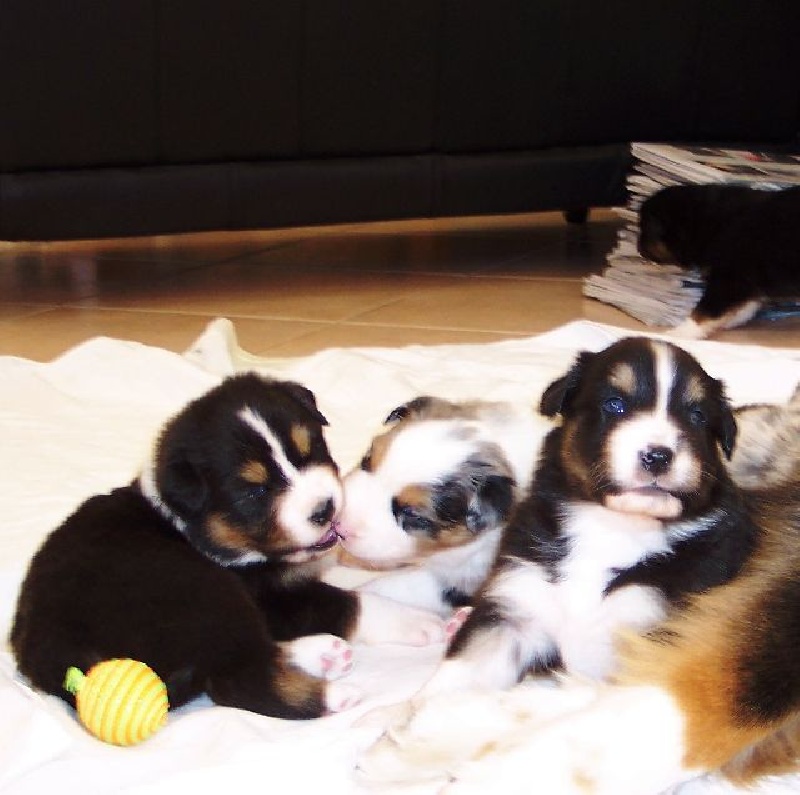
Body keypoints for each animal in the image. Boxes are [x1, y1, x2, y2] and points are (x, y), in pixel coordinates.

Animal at [11, 373, 445, 722]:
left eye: (309, 451)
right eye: (256, 491)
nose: (324, 508)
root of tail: (53, 663)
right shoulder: (267, 595)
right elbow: (347, 601)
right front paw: (418, 622)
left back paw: (323, 655)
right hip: (204, 595)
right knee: (237, 677)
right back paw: (333, 693)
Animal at [358, 336, 800, 793]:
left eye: (696, 416)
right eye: (614, 404)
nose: (658, 455)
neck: (613, 529)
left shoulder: (653, 632)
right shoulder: (514, 606)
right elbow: (457, 674)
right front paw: (411, 728)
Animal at [638, 183, 800, 338]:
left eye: (646, 229)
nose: (638, 248)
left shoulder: (727, 279)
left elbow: (703, 312)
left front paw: (678, 334)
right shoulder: (743, 283)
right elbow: (744, 308)